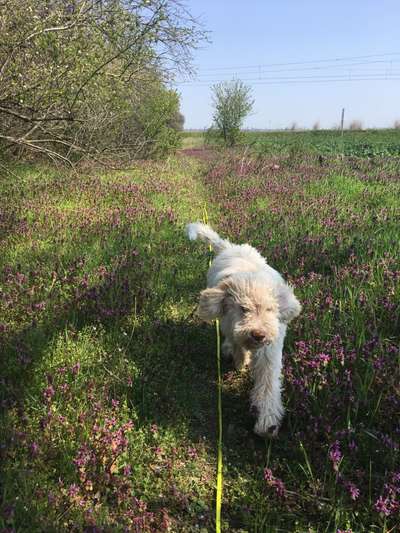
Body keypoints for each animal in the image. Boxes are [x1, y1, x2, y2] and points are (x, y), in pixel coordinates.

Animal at [186, 221, 302, 436]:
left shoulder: (269, 352)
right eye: (243, 309)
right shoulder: (231, 327)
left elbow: (267, 383)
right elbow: (237, 346)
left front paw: (267, 422)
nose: (258, 334)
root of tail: (231, 247)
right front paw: (240, 362)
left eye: (270, 309)